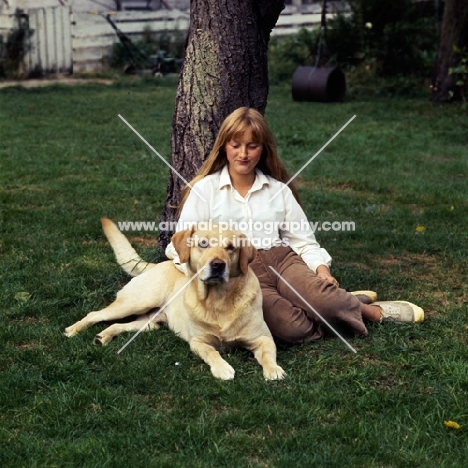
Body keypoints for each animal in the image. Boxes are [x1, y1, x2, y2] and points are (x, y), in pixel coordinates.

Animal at [64, 219, 286, 380]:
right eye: (203, 244)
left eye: (231, 247)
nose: (217, 265)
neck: (218, 300)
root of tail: (157, 264)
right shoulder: (198, 342)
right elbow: (212, 353)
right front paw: (222, 368)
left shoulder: (263, 338)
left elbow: (268, 354)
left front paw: (274, 369)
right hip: (135, 302)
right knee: (94, 314)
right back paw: (72, 330)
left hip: (150, 323)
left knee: (119, 325)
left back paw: (103, 336)